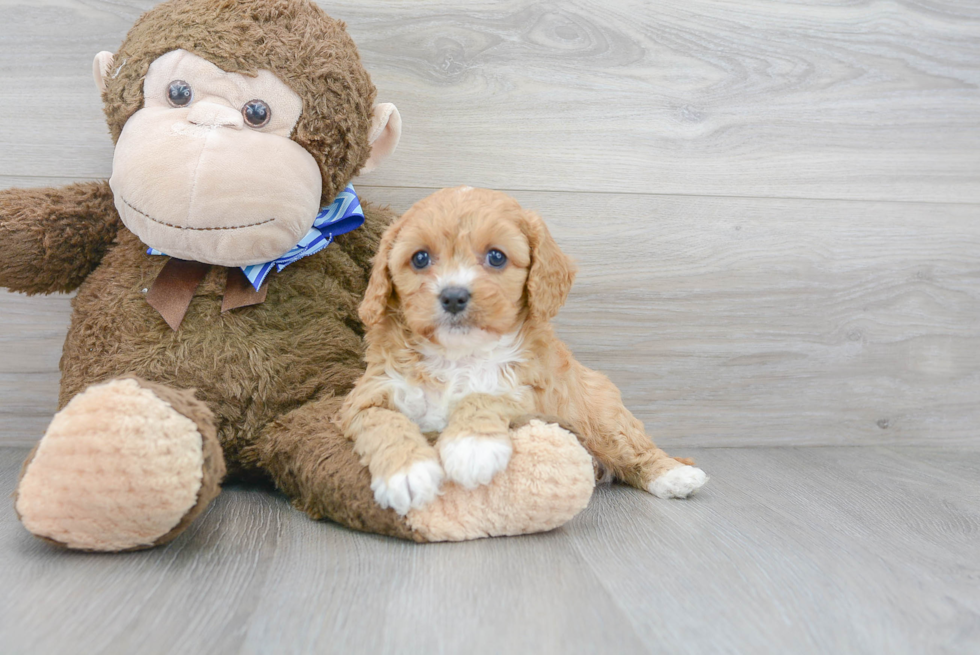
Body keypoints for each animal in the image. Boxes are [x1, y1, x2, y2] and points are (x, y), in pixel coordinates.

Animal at [336, 187, 704, 516]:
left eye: (496, 256)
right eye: (420, 258)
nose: (453, 296)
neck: (459, 356)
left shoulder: (531, 389)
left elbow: (485, 395)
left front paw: (472, 446)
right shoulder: (368, 394)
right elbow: (383, 421)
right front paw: (408, 473)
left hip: (602, 415)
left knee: (631, 449)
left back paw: (674, 475)